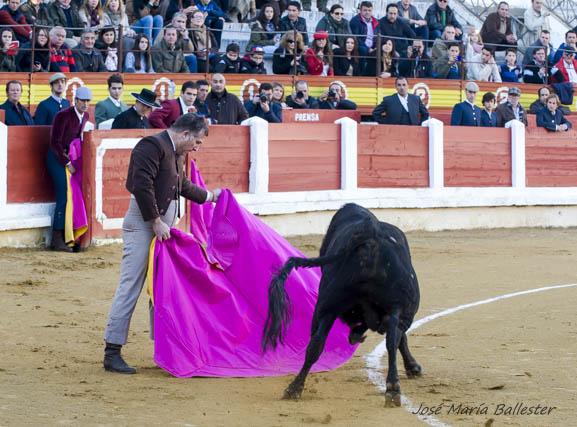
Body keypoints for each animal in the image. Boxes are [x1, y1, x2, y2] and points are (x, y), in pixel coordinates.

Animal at [264, 204, 420, 408]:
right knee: (392, 338)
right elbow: (399, 338)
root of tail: (371, 235)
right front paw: (413, 367)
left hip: (328, 307)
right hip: (394, 307)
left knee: (316, 344)